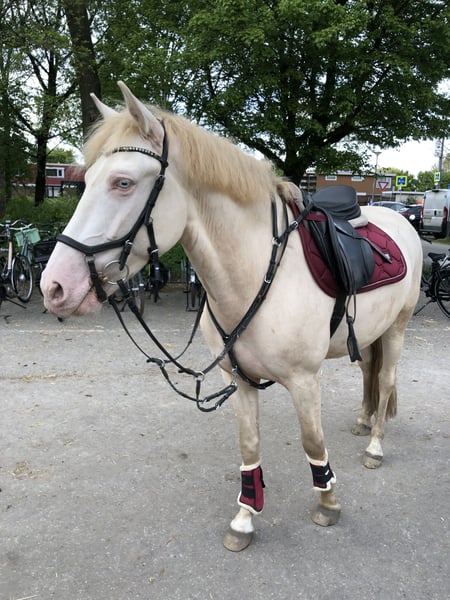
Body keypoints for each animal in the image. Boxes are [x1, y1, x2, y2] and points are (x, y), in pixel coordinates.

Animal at [41, 81, 423, 552]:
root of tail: (395, 218)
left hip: (398, 328)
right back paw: (364, 420)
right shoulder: (238, 379)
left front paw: (328, 503)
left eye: (122, 182)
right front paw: (244, 518)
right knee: (369, 371)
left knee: (385, 380)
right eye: (86, 180)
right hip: (371, 332)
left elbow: (313, 442)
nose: (55, 286)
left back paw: (375, 446)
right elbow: (249, 446)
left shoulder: (304, 380)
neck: (257, 272)